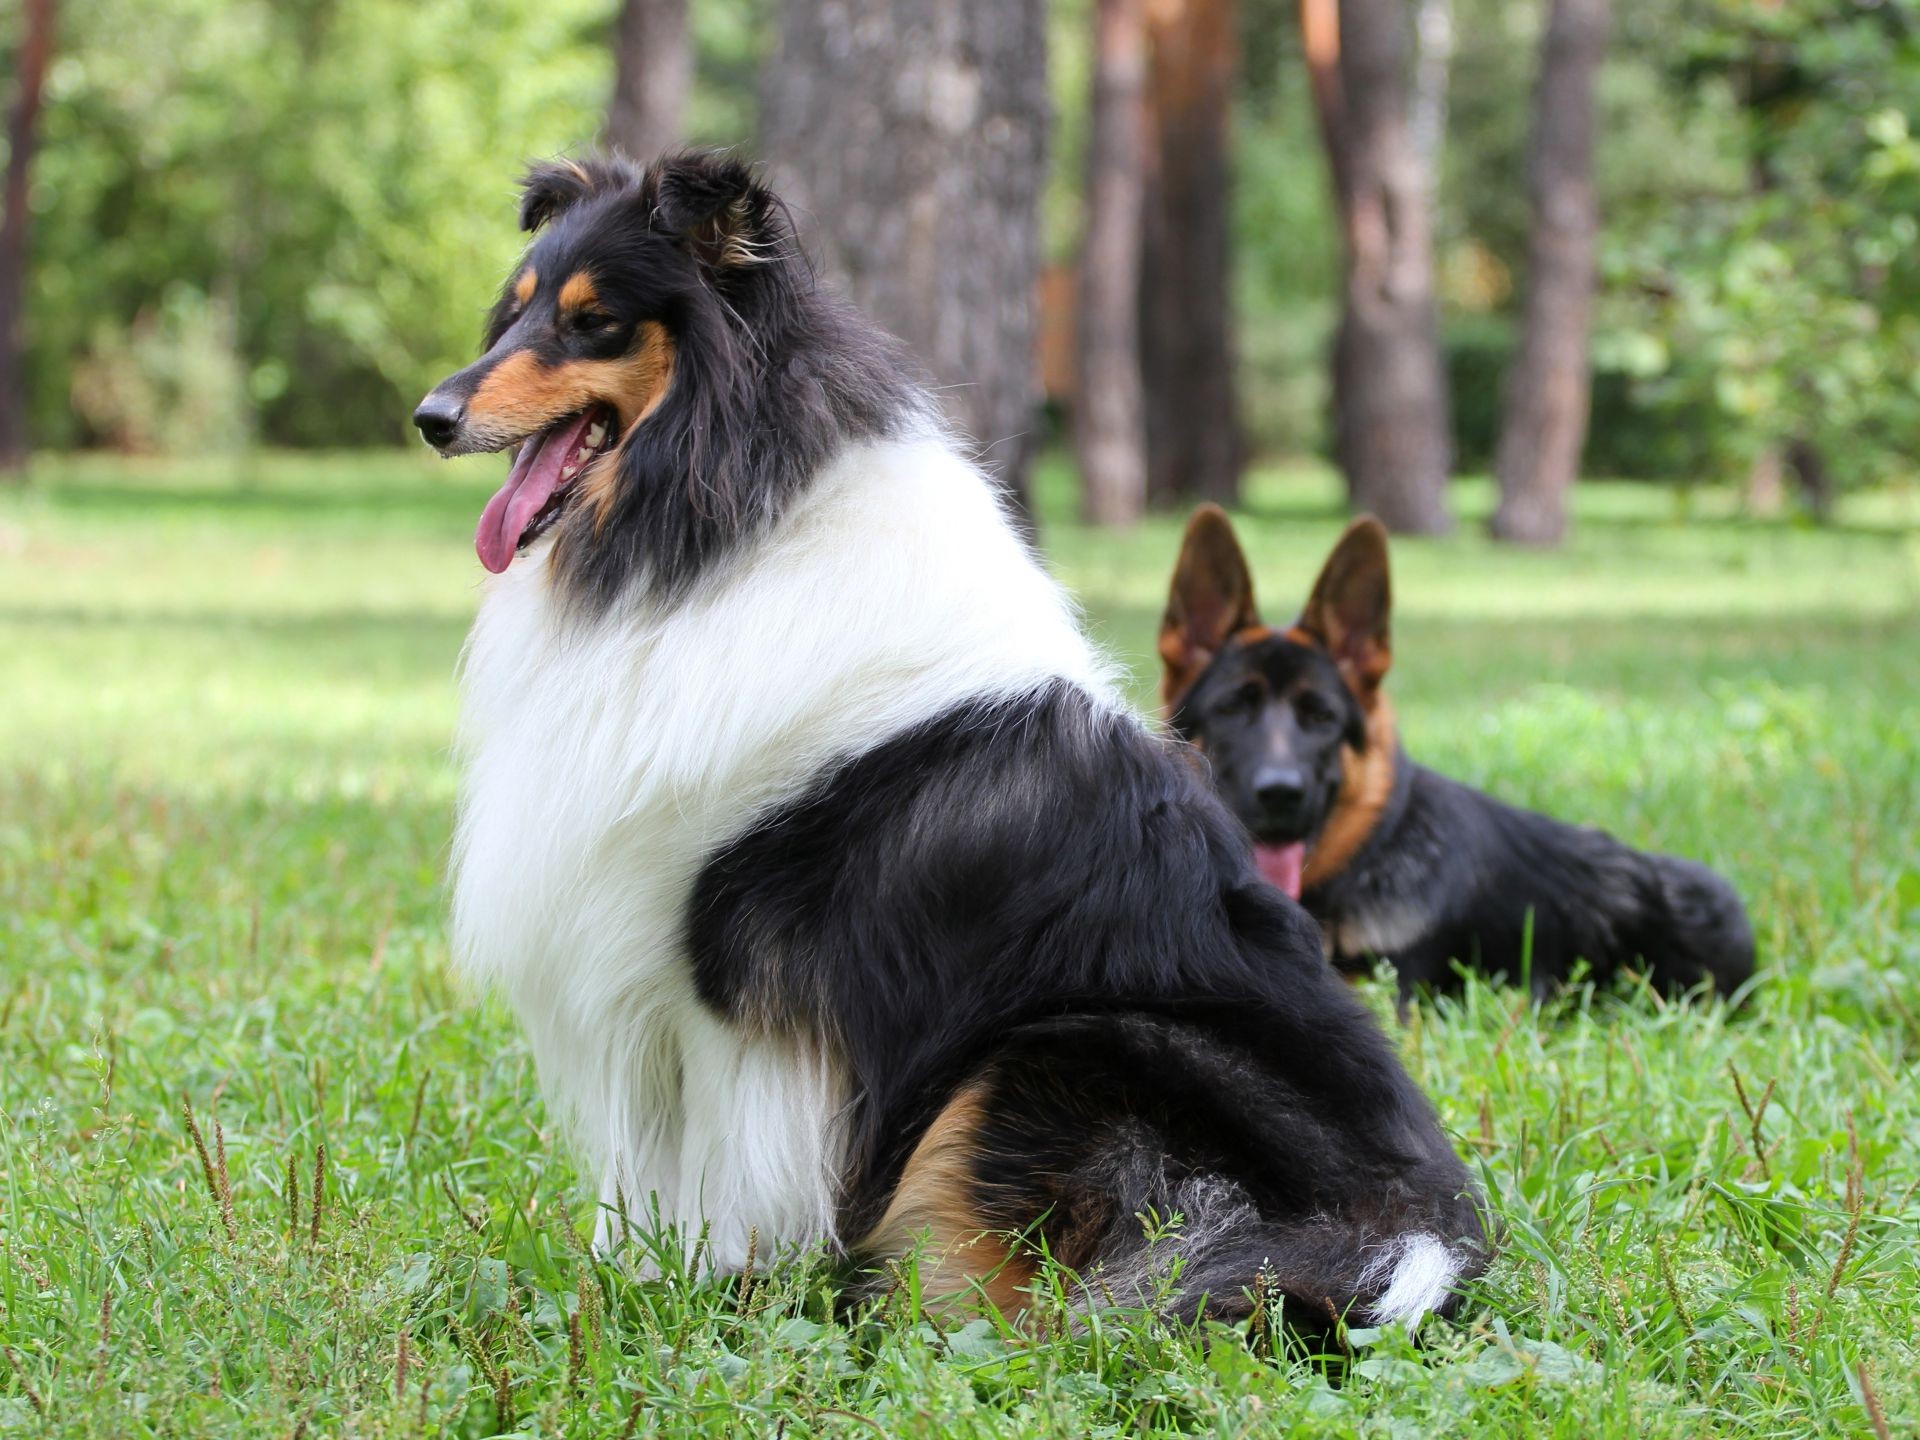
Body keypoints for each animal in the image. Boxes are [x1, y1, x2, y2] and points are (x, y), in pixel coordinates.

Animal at [412, 152, 1489, 1336]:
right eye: (513, 313)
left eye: (592, 321)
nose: (429, 415)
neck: (716, 521)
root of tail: (1414, 1242)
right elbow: (646, 1176)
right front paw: (630, 1283)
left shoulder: (728, 976)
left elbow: (720, 1168)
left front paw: (705, 1292)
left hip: (1057, 1050)